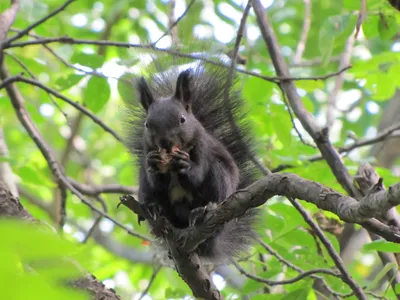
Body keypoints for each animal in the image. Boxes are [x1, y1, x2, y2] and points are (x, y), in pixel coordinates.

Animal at [125, 58, 260, 262]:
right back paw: (153, 208)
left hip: (219, 179)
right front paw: (154, 162)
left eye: (182, 119)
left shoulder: (203, 149)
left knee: (214, 193)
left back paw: (203, 210)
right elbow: (155, 180)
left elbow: (197, 173)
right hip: (145, 189)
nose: (164, 142)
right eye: (147, 124)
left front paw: (185, 165)